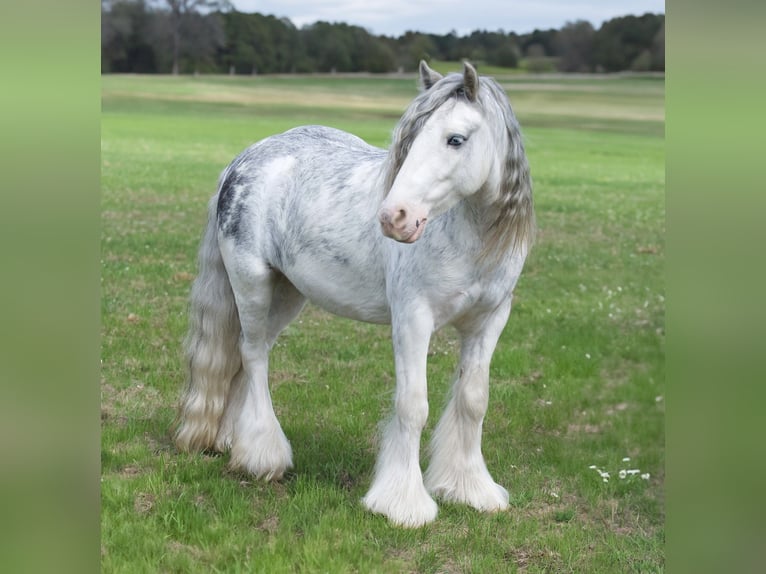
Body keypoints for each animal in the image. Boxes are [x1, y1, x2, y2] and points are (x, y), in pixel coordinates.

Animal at [173, 61, 535, 527]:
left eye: (455, 139)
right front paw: (403, 504)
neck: (467, 235)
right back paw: (262, 457)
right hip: (252, 284)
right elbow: (412, 406)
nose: (394, 217)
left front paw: (470, 490)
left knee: (244, 356)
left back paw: (233, 443)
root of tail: (244, 159)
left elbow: (473, 402)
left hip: (287, 295)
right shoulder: (413, 319)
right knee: (252, 355)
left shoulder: (489, 321)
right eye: (409, 139)